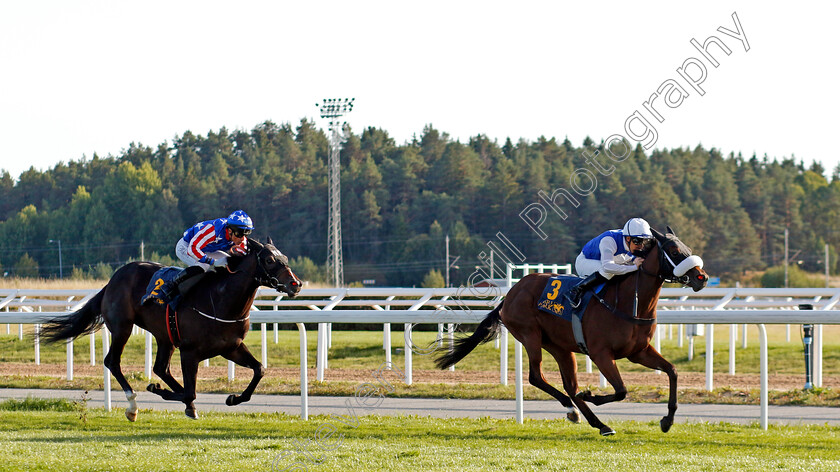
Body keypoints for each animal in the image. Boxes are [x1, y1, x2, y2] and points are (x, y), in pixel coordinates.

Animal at [41, 238, 302, 422]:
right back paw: (133, 406)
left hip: (164, 335)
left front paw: (233, 398)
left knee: (161, 368)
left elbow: (259, 369)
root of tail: (112, 280)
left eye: (285, 257)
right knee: (113, 361)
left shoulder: (231, 347)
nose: (296, 284)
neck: (221, 299)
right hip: (122, 327)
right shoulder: (190, 352)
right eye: (269, 260)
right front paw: (160, 391)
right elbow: (190, 391)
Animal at [436, 227, 704, 436]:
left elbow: (672, 371)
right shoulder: (601, 353)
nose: (701, 277)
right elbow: (621, 391)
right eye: (674, 251)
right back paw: (576, 410)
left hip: (561, 347)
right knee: (537, 377)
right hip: (530, 335)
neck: (629, 302)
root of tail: (510, 294)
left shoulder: (638, 352)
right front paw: (592, 395)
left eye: (688, 248)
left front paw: (667, 420)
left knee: (569, 386)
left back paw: (597, 422)